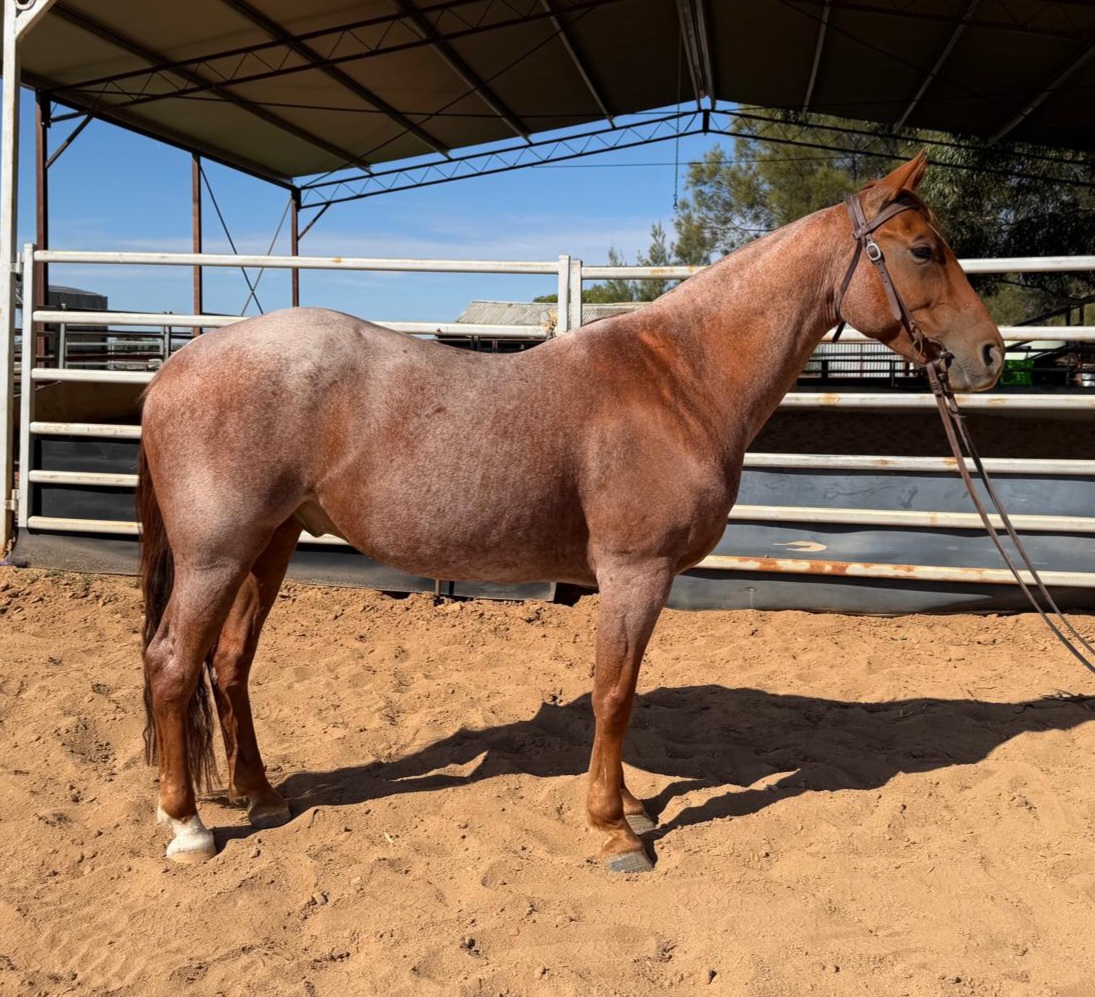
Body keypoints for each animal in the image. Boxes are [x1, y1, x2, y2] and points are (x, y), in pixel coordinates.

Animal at [137, 153, 1004, 870]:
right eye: (922, 249)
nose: (990, 354)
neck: (680, 376)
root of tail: (180, 364)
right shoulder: (633, 573)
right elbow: (613, 693)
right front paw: (614, 829)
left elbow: (620, 692)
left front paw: (630, 806)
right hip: (218, 554)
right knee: (174, 664)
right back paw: (189, 825)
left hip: (272, 543)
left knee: (230, 662)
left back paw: (262, 793)